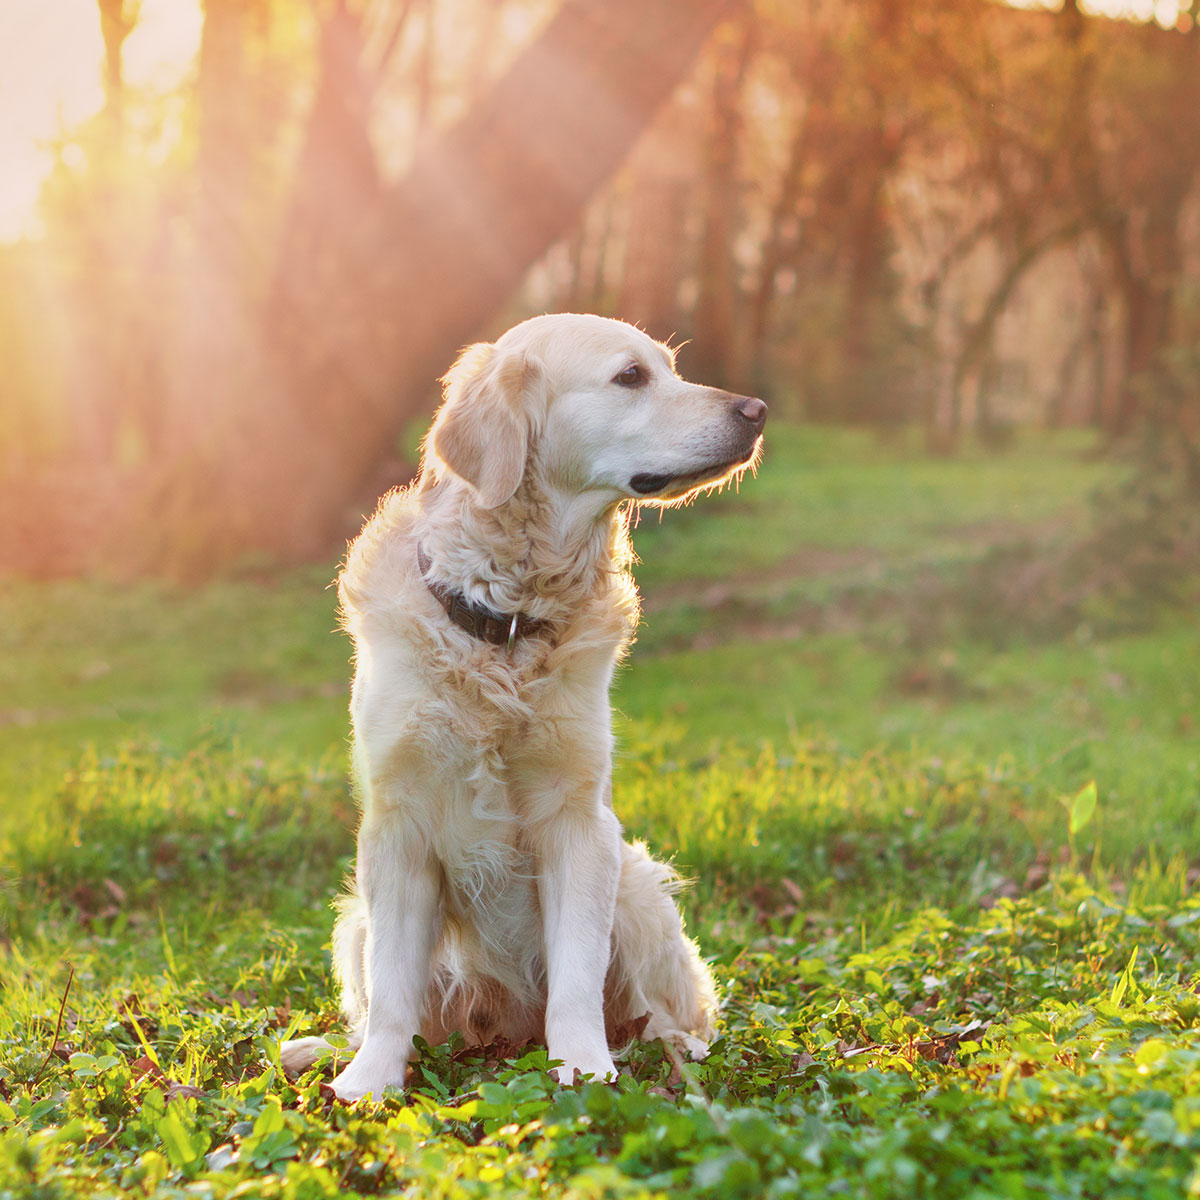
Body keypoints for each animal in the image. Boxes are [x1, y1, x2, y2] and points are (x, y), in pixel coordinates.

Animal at [279, 314, 763, 1099]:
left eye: (670, 368)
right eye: (631, 376)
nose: (756, 411)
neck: (504, 622)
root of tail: (503, 1033)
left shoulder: (579, 820)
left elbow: (576, 978)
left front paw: (584, 1067)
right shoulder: (396, 823)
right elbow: (392, 989)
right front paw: (370, 1082)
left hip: (638, 886)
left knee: (664, 1013)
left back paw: (674, 1050)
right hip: (353, 919)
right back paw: (321, 1051)